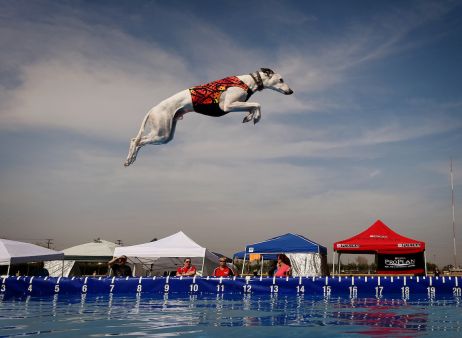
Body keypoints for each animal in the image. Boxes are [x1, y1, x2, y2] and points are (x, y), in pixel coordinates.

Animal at [124, 68, 294, 166]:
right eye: (281, 79)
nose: (291, 91)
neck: (248, 81)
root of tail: (152, 109)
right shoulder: (228, 106)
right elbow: (257, 104)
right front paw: (255, 117)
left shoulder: (237, 104)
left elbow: (253, 106)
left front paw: (249, 116)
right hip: (161, 132)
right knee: (136, 140)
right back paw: (129, 159)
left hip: (165, 135)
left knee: (137, 141)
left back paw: (131, 159)